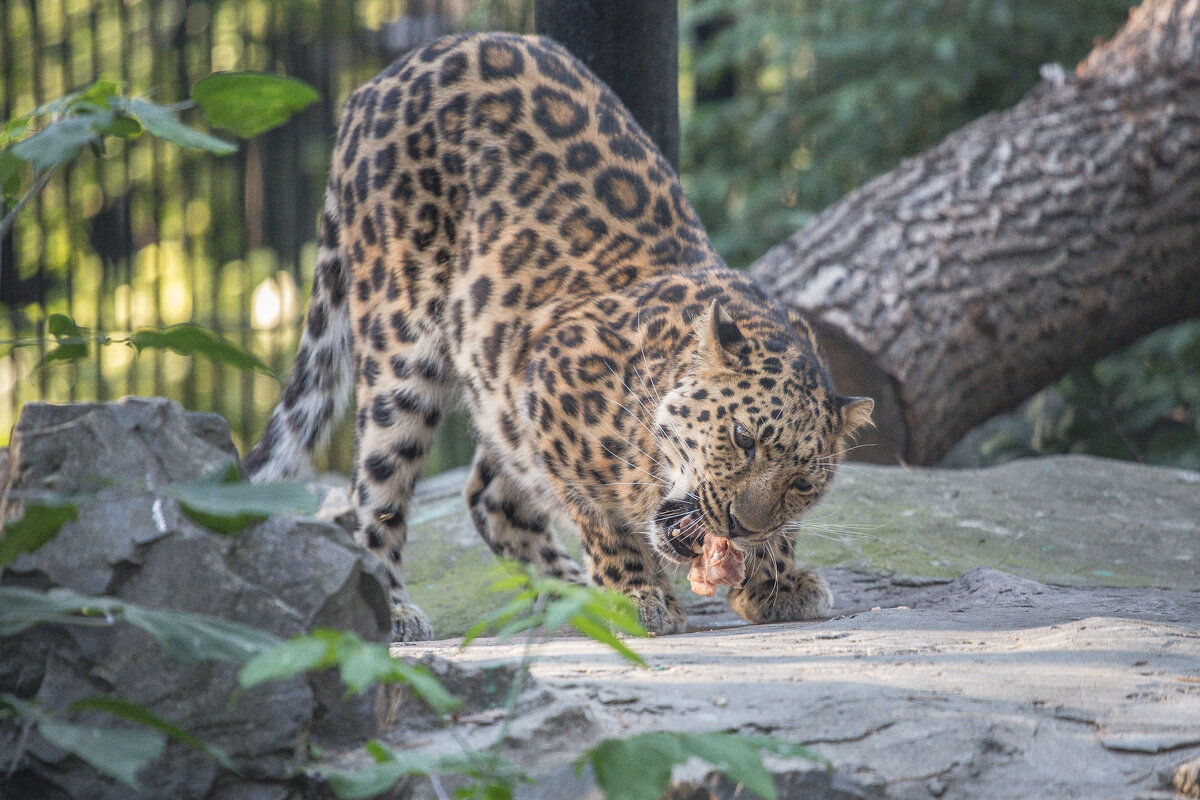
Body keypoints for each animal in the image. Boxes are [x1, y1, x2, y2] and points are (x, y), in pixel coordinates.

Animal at [243, 31, 878, 642]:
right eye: (743, 438)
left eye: (801, 482)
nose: (741, 525)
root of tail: (376, 84)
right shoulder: (547, 379)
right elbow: (600, 516)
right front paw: (635, 595)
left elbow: (780, 533)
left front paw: (775, 582)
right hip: (400, 353)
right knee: (378, 493)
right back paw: (395, 609)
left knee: (489, 498)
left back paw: (568, 594)